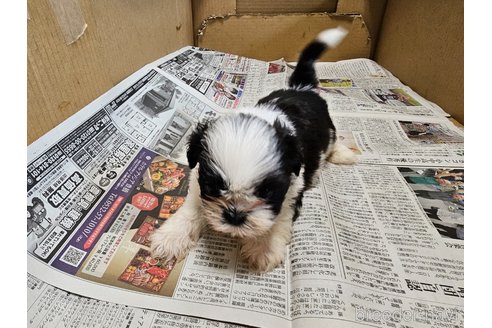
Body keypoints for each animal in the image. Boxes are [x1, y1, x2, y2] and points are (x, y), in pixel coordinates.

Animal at [150, 26, 358, 272]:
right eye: (213, 186)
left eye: (266, 192)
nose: (235, 214)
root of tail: (301, 88)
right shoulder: (197, 181)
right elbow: (192, 208)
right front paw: (171, 237)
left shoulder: (291, 190)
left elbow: (279, 215)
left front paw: (263, 247)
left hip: (329, 130)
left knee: (332, 141)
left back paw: (343, 155)